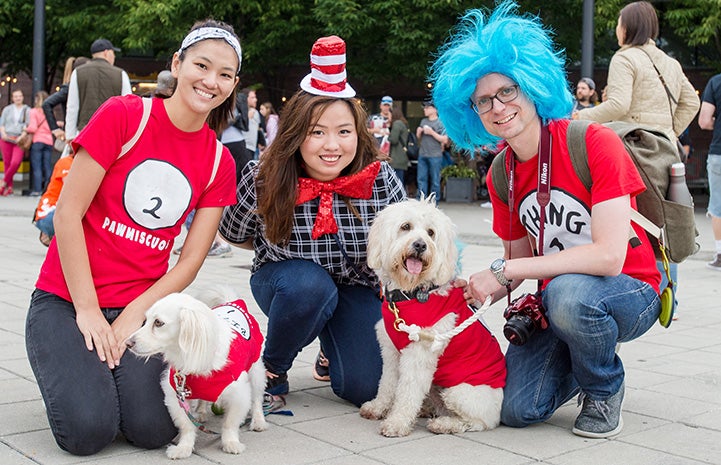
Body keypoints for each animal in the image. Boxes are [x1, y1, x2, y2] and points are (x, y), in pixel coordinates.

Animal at [126, 286, 268, 456]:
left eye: (158, 323)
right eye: (145, 320)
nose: (127, 343)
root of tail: (231, 302)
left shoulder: (239, 395)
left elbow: (230, 423)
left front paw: (231, 443)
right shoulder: (176, 395)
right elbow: (186, 425)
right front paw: (184, 448)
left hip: (256, 372)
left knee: (257, 398)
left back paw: (258, 421)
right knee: (202, 400)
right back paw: (201, 413)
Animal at [360, 198, 506, 436]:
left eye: (431, 232)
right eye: (406, 226)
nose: (421, 245)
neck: (410, 294)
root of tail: (499, 409)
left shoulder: (418, 356)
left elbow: (407, 392)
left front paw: (397, 422)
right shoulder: (391, 352)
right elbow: (387, 383)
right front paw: (377, 407)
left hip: (460, 393)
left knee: (476, 422)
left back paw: (444, 424)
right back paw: (427, 409)